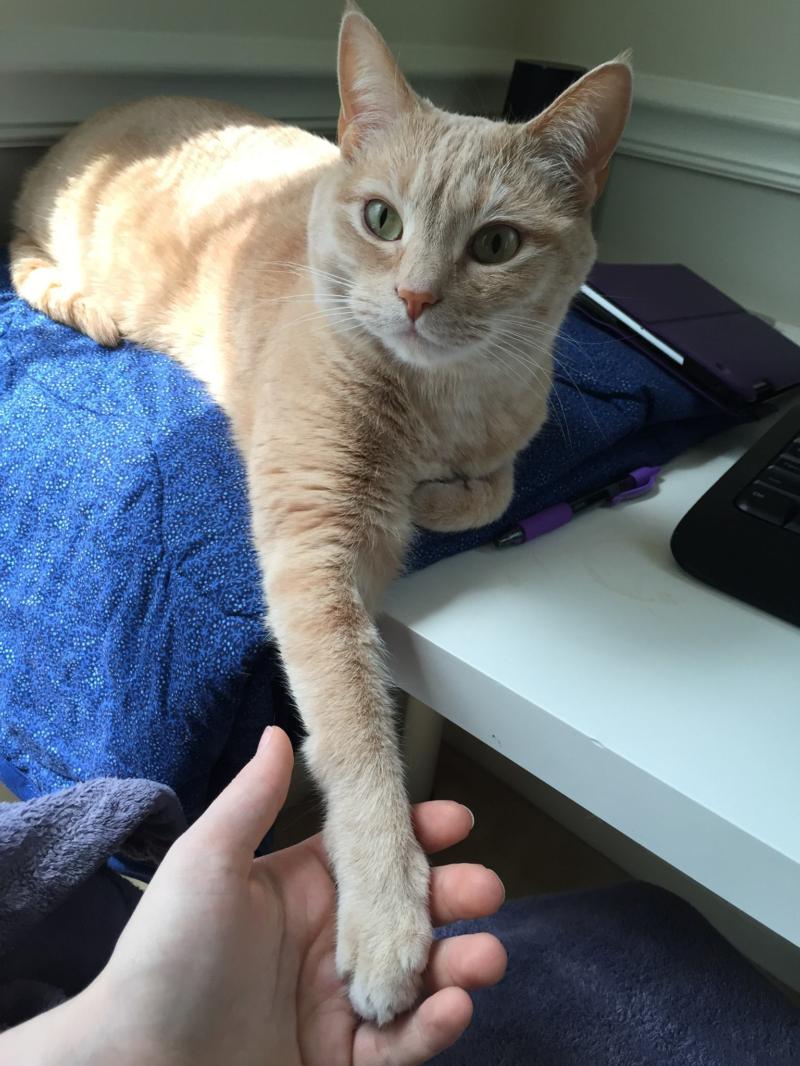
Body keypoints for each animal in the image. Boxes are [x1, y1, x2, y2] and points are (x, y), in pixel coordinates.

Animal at [10, 1, 631, 1024]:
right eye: (383, 219)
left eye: (496, 245)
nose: (415, 296)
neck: (440, 402)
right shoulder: (314, 542)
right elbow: (353, 727)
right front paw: (386, 913)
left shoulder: (508, 441)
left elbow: (495, 487)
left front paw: (439, 496)